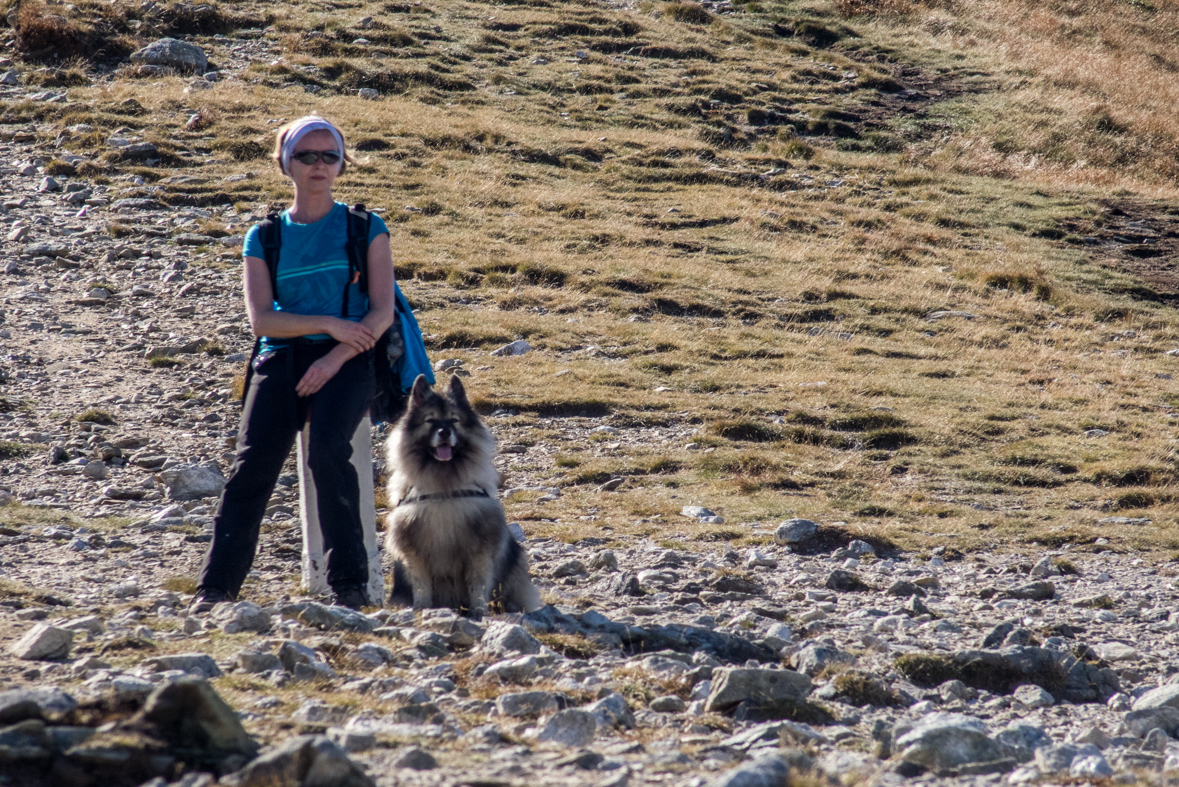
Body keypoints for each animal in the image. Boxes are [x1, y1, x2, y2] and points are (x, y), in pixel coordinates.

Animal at [384, 372, 539, 617]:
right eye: (430, 421)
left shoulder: (480, 550)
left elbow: (478, 583)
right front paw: (421, 609)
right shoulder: (414, 550)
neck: (444, 489)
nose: (444, 432)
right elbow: (421, 584)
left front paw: (478, 611)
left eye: (454, 420)